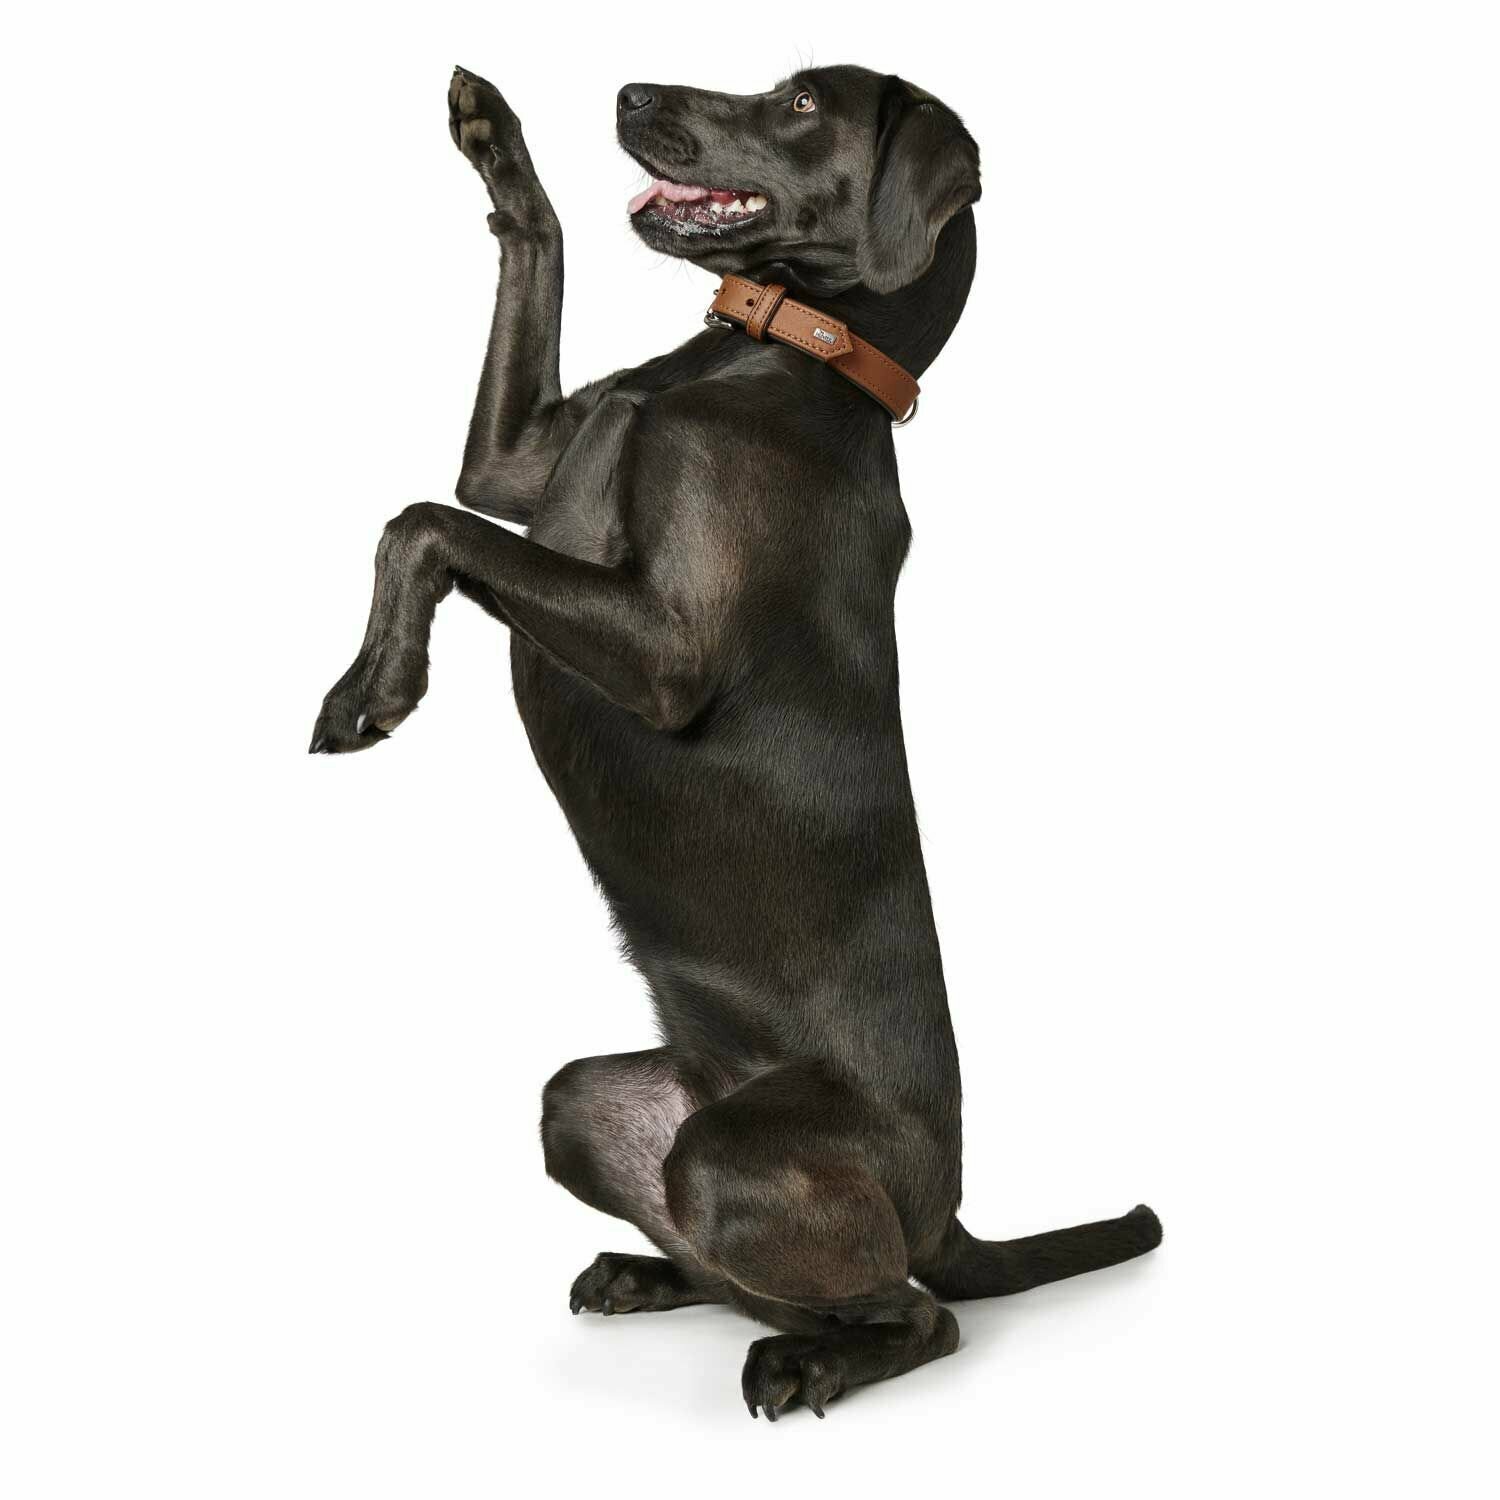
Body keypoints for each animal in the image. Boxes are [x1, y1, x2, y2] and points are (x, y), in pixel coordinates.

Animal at [309, 63, 1162, 1419]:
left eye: (805, 103)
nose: (629, 89)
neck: (759, 362)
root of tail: (947, 1212)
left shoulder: (664, 654)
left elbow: (423, 522)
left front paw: (372, 691)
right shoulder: (516, 464)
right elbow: (520, 299)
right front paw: (492, 134)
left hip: (733, 1161)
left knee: (919, 1316)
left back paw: (813, 1362)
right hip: (587, 1108)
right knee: (745, 1268)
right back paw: (645, 1277)